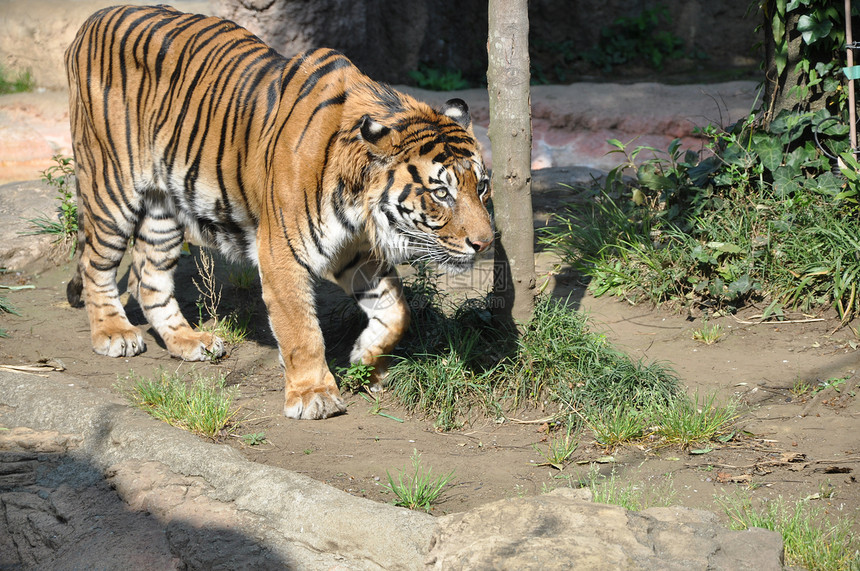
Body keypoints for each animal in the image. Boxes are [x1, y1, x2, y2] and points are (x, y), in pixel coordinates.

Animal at [63, 4, 494, 420]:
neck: (360, 205)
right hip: (110, 186)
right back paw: (114, 334)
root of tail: (92, 20)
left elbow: (396, 311)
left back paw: (189, 341)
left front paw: (365, 361)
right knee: (96, 266)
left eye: (482, 186)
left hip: (163, 209)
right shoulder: (281, 252)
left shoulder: (355, 253)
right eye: (441, 193)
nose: (486, 243)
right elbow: (301, 330)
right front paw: (314, 395)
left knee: (147, 277)